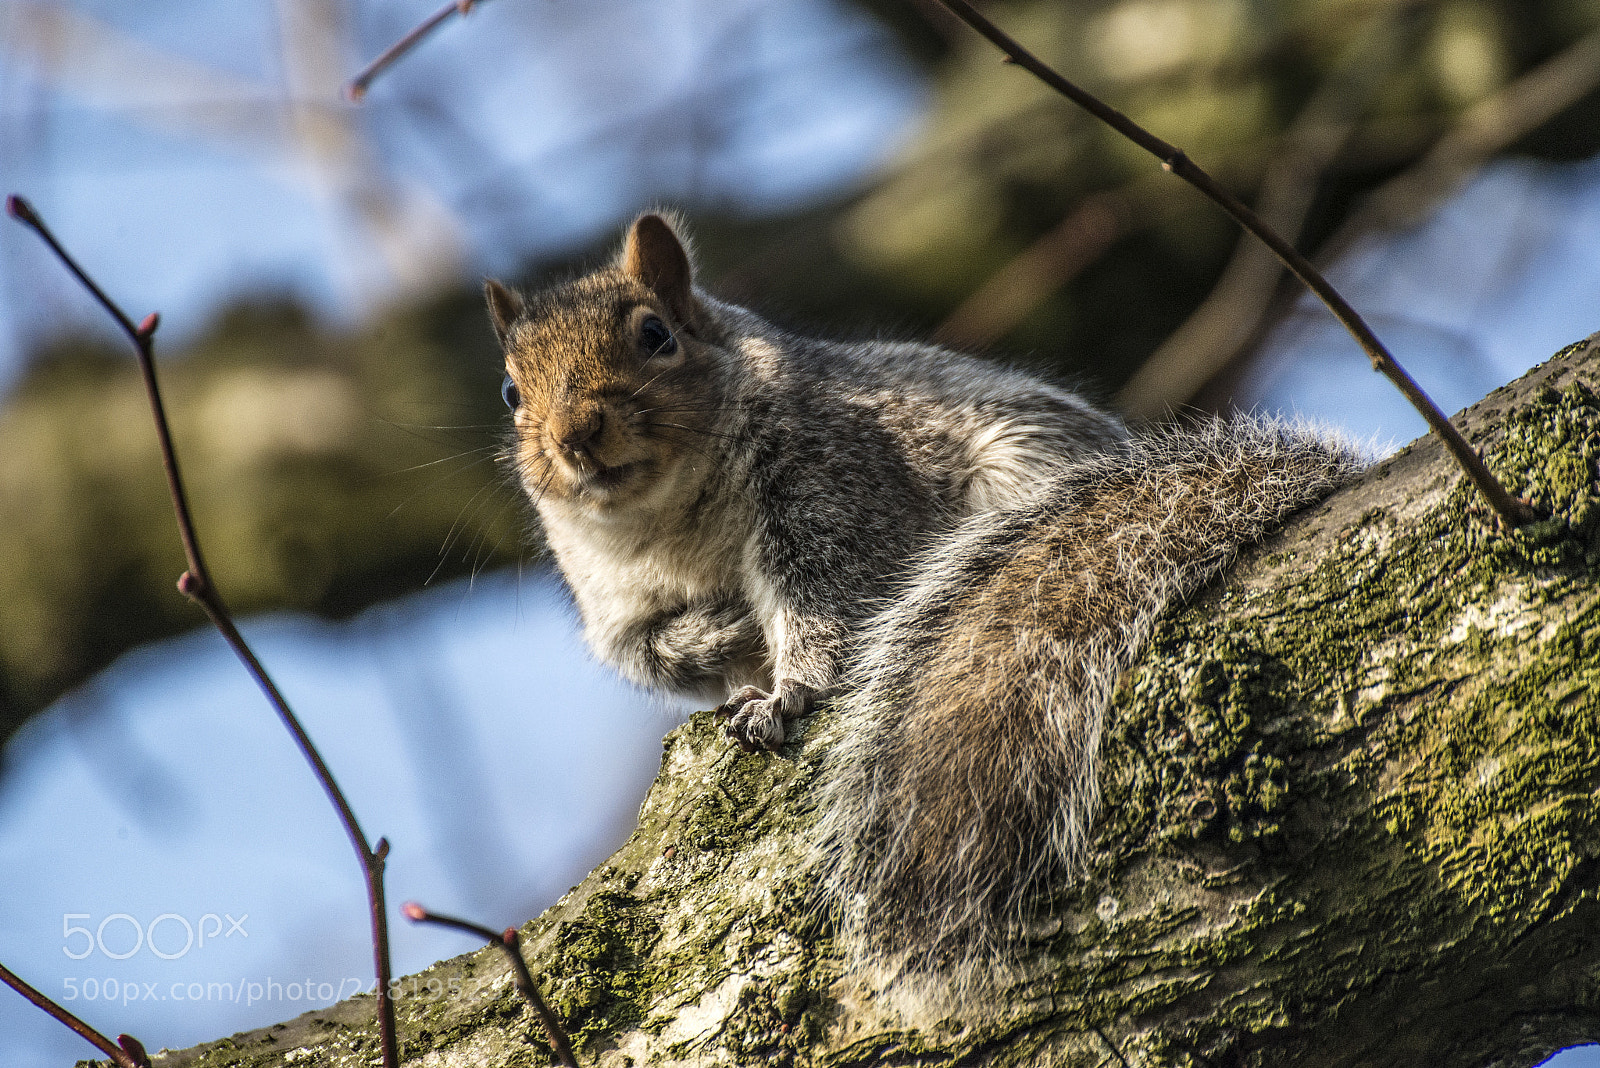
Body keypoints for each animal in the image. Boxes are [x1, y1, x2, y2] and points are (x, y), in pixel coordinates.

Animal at [486, 212, 1365, 974]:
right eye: (510, 393)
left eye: (655, 336)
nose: (573, 438)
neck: (670, 523)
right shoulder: (612, 605)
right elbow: (657, 655)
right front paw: (725, 634)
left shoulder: (835, 485)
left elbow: (832, 609)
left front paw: (789, 692)